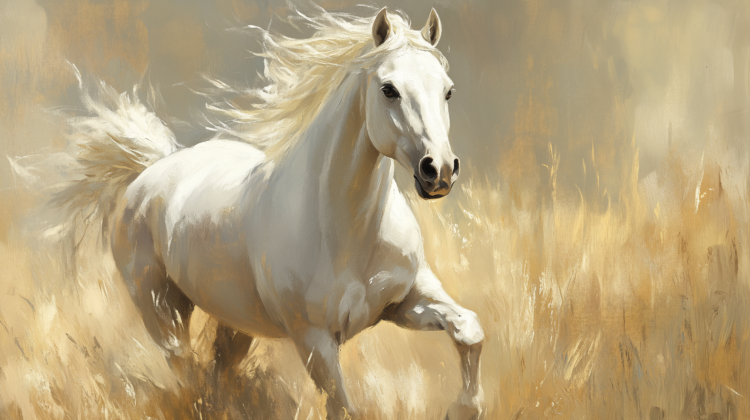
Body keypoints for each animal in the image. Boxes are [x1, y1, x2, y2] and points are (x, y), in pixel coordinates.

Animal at [50, 7, 484, 420]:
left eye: (447, 91)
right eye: (389, 89)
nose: (439, 170)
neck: (348, 233)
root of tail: (151, 169)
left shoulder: (408, 299)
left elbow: (469, 329)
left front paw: (464, 408)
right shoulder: (314, 340)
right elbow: (344, 408)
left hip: (236, 322)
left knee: (217, 375)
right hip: (161, 311)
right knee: (188, 374)